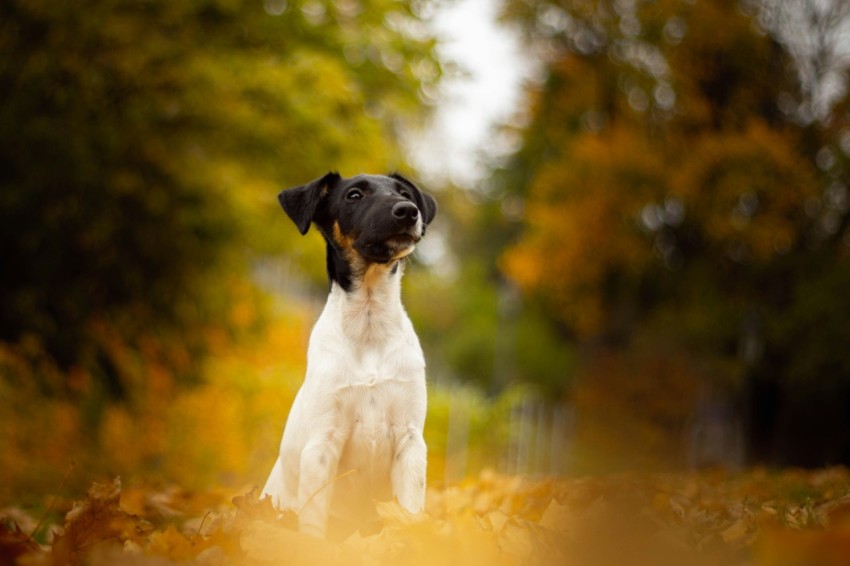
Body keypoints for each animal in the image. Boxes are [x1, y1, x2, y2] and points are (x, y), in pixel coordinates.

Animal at [262, 171, 438, 540]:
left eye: (404, 193)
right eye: (354, 195)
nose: (409, 211)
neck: (369, 327)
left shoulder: (410, 442)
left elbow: (409, 511)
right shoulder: (322, 444)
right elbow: (313, 523)